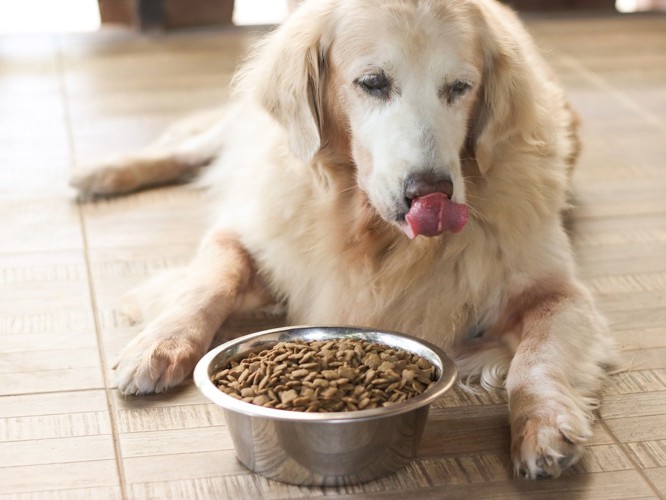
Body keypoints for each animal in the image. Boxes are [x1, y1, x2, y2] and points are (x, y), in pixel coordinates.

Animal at [68, 0, 616, 478]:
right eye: (373, 83)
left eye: (460, 87)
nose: (431, 193)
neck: (368, 230)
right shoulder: (250, 229)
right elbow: (211, 279)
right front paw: (159, 344)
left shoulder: (558, 291)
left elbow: (536, 359)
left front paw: (544, 426)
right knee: (190, 148)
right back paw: (102, 172)